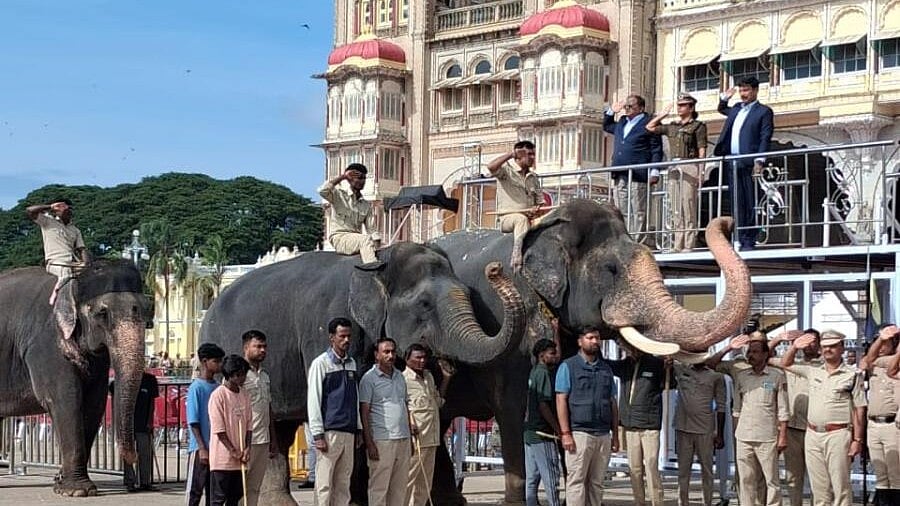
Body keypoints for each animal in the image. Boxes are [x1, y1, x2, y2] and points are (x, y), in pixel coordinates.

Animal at [0, 260, 146, 496]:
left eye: (148, 309)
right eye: (102, 313)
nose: (134, 458)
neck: (74, 280)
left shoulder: (98, 360)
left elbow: (94, 404)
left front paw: (62, 484)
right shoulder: (46, 345)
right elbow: (66, 401)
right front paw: (78, 491)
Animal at [199, 240, 526, 504]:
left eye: (470, 295)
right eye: (424, 304)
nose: (495, 268)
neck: (376, 265)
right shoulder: (325, 325)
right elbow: (355, 410)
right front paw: (358, 501)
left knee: (278, 429)